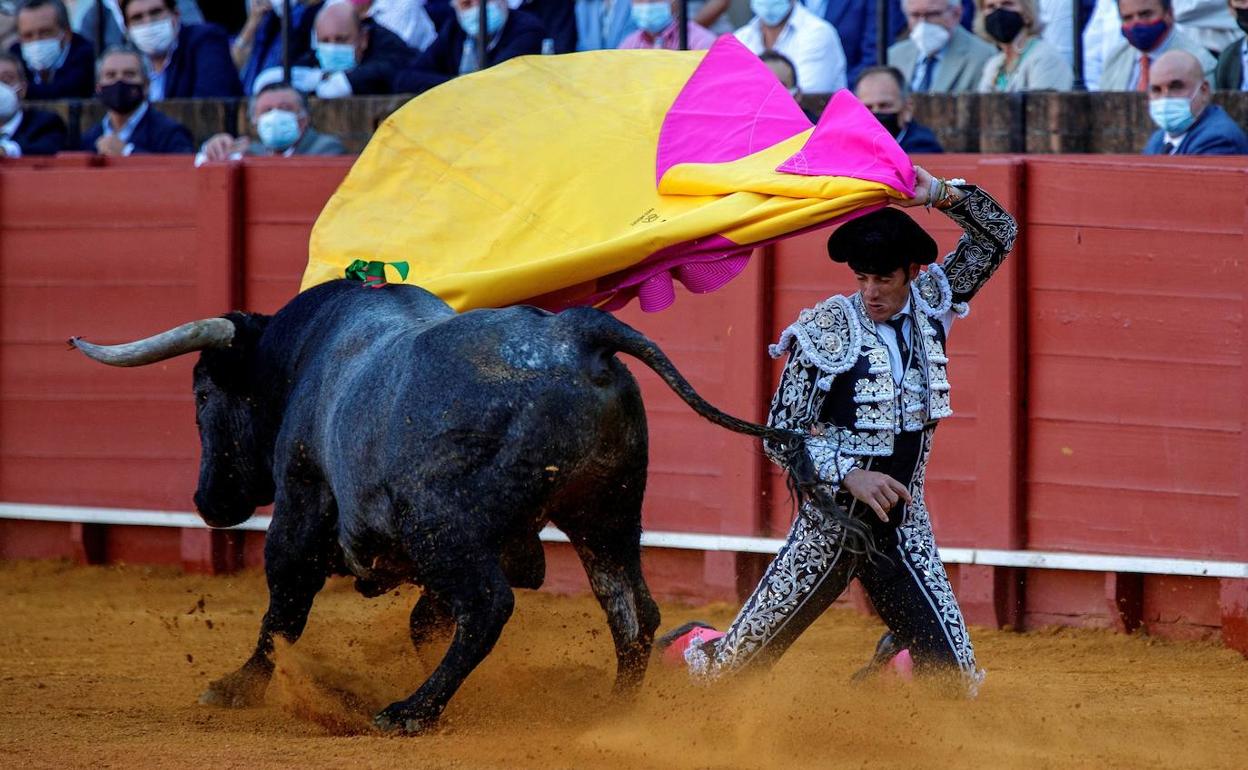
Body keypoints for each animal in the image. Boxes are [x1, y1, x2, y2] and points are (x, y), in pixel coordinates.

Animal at [70, 279, 808, 728]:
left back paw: (411, 711)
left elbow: (284, 604)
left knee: (488, 607)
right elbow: (423, 621)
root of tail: (576, 334)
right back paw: (613, 713)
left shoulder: (303, 503)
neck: (302, 358)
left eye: (201, 394)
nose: (208, 501)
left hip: (443, 525)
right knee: (631, 611)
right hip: (607, 513)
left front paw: (238, 686)